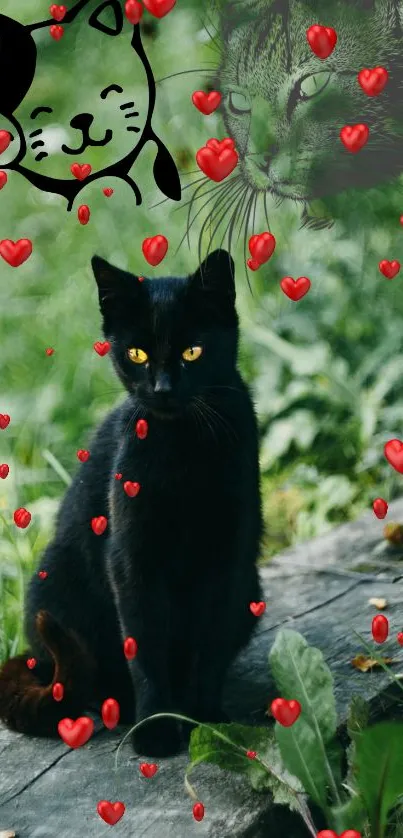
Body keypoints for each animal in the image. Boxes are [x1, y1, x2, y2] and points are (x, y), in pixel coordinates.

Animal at [0, 251, 264, 760]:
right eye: (137, 354)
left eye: (192, 352)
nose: (161, 389)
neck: (183, 450)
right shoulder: (132, 559)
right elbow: (144, 649)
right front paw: (156, 729)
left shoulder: (230, 558)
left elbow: (210, 646)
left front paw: (208, 721)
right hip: (55, 583)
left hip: (252, 592)